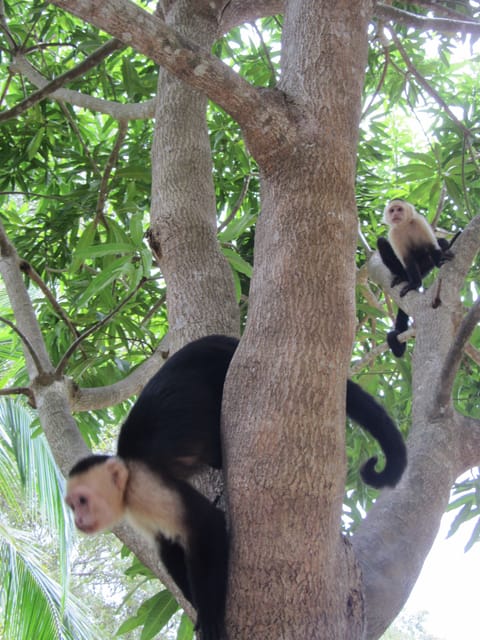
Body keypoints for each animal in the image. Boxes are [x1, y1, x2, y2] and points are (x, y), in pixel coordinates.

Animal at [65, 336, 406, 640]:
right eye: (71, 505)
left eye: (82, 501)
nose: (78, 522)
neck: (126, 478)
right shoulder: (138, 511)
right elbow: (169, 548)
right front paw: (195, 603)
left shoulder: (146, 488)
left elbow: (207, 525)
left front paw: (210, 614)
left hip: (226, 370)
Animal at [376, 198, 458, 358]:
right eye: (392, 210)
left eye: (399, 209)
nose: (395, 214)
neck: (404, 225)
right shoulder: (394, 233)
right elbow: (407, 260)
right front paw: (414, 284)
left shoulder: (419, 222)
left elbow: (432, 246)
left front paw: (440, 260)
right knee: (382, 242)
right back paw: (402, 277)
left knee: (441, 243)